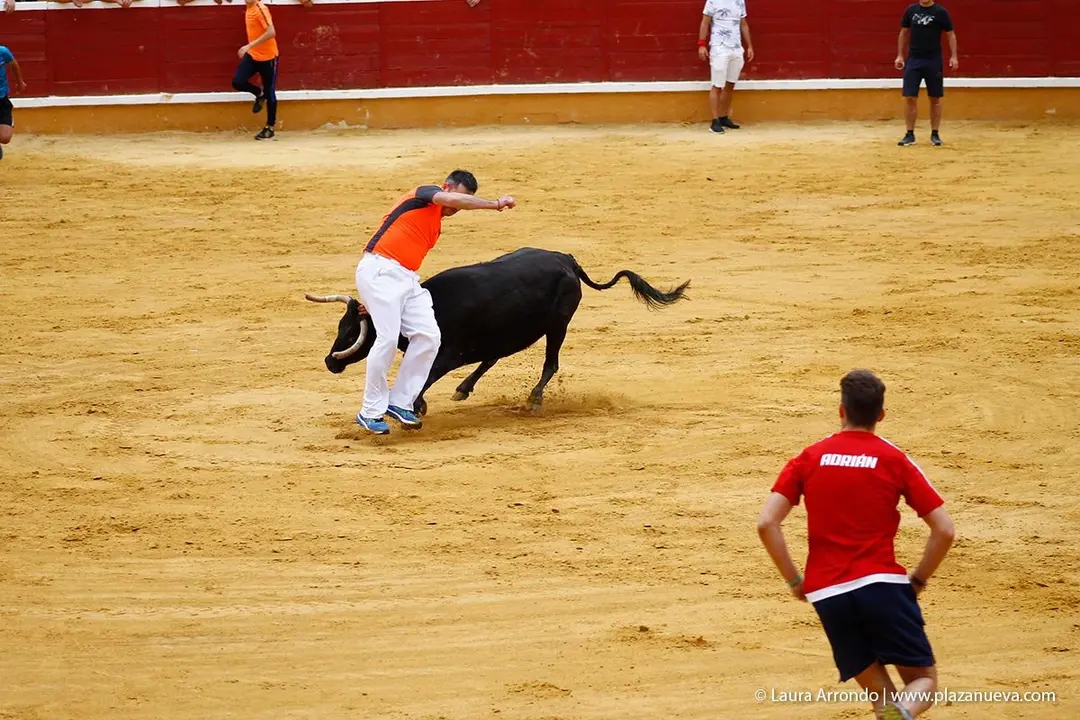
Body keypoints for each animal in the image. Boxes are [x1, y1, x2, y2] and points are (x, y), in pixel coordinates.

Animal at [305, 248, 689, 417]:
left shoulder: (447, 354)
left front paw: (416, 405)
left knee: (550, 364)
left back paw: (533, 400)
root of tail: (566, 259)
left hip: (557, 326)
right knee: (493, 357)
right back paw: (464, 390)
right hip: (518, 331)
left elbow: (425, 375)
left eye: (351, 330)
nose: (329, 362)